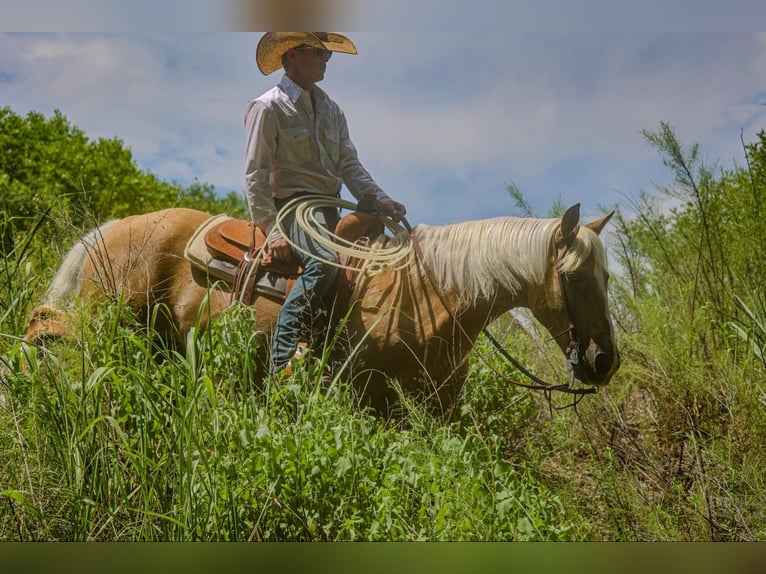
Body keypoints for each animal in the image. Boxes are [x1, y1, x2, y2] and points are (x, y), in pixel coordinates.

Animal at [25, 203, 620, 417]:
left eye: (608, 277)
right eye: (573, 277)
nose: (605, 361)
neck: (433, 294)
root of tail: (115, 227)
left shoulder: (436, 406)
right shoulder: (369, 396)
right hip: (106, 324)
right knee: (47, 326)